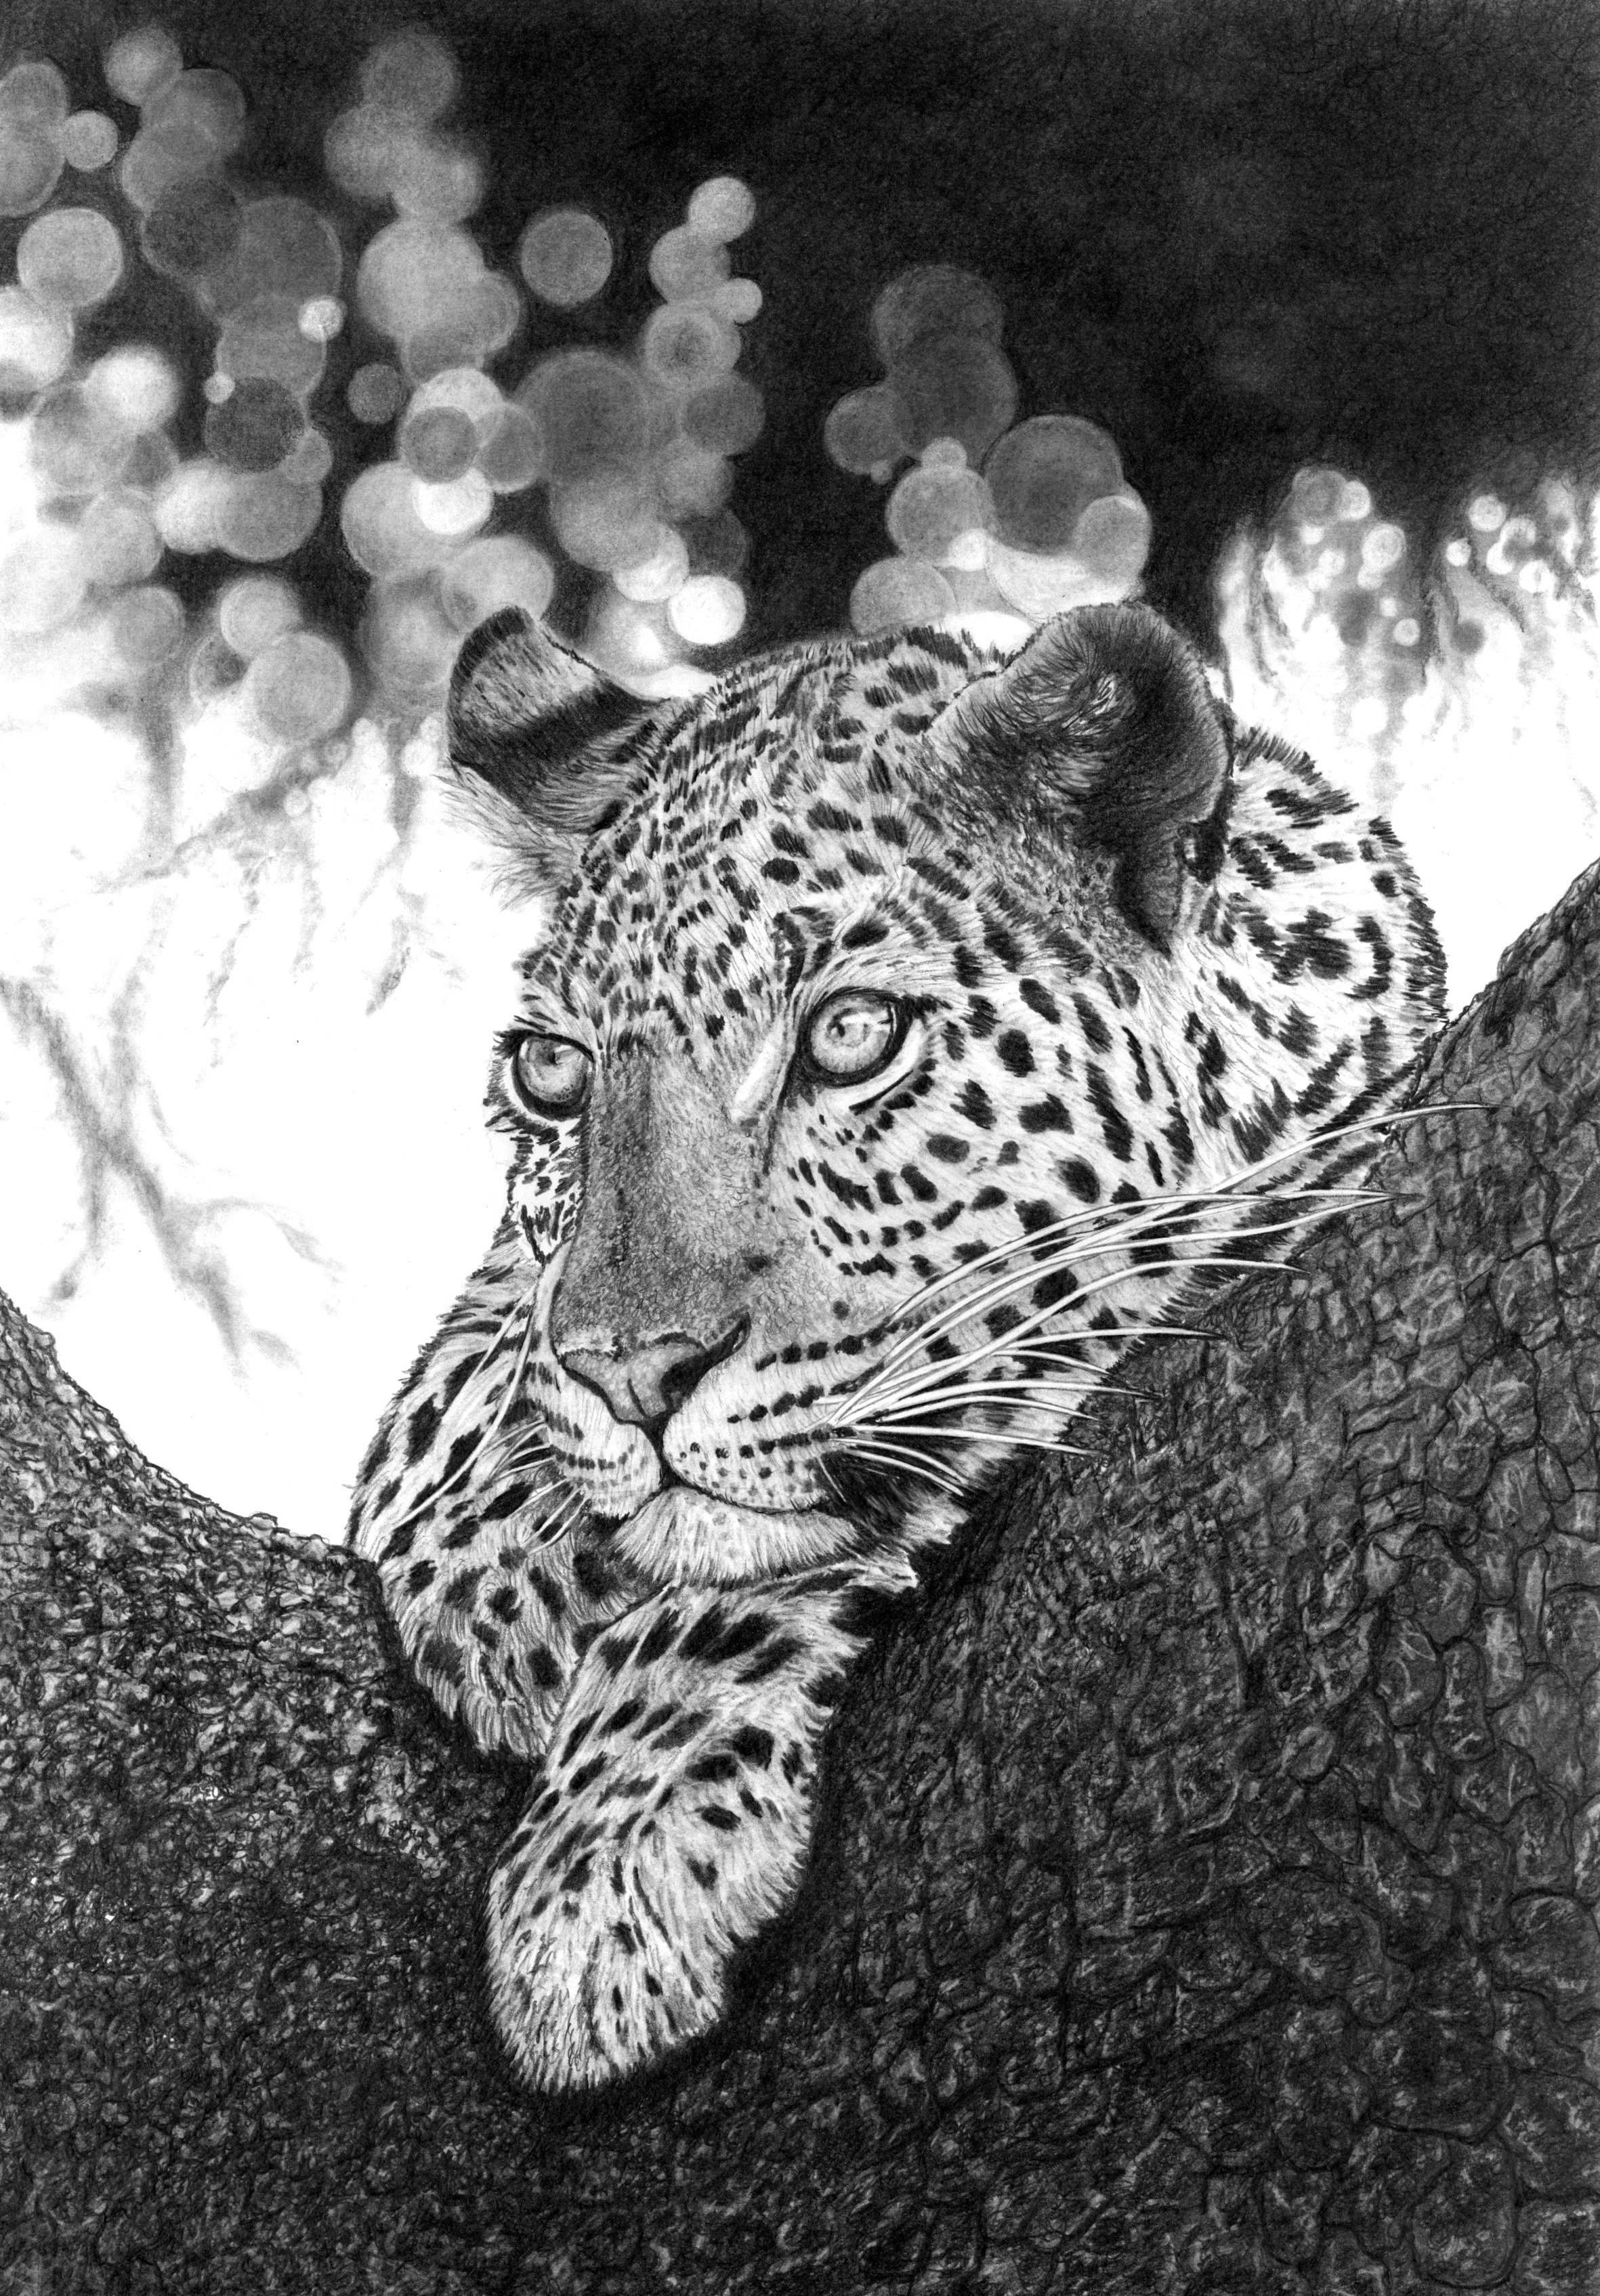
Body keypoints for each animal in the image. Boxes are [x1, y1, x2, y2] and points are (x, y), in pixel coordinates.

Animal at [348, 596, 1444, 2092]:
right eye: (551, 1075)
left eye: (849, 1037)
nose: (634, 1375)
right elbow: (467, 1367)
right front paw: (496, 1553)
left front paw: (603, 1860)